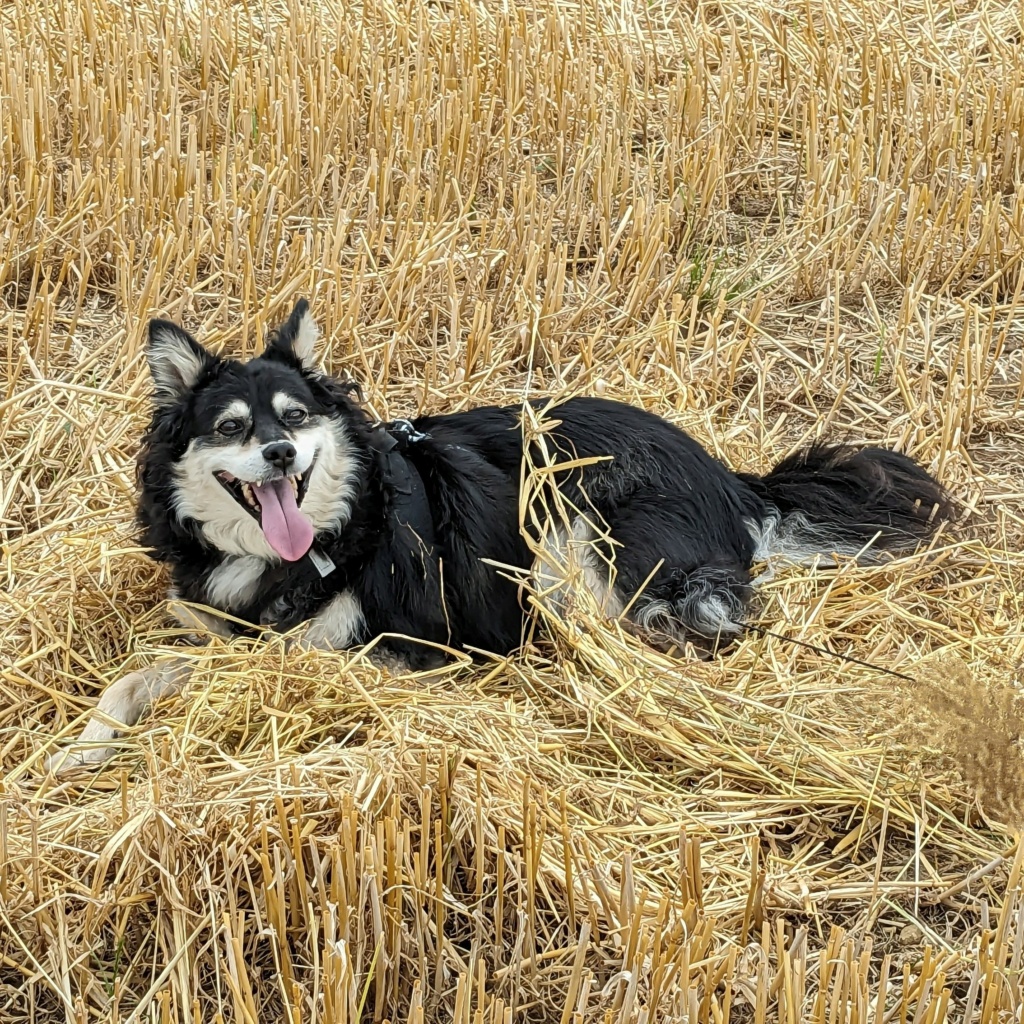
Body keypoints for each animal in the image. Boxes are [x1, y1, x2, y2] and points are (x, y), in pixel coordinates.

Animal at [48, 299, 954, 770]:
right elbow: (140, 675)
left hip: (570, 535)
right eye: (232, 428)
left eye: (295, 418)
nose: (278, 453)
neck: (312, 547)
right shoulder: (216, 630)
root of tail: (730, 475)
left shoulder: (396, 643)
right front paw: (80, 749)